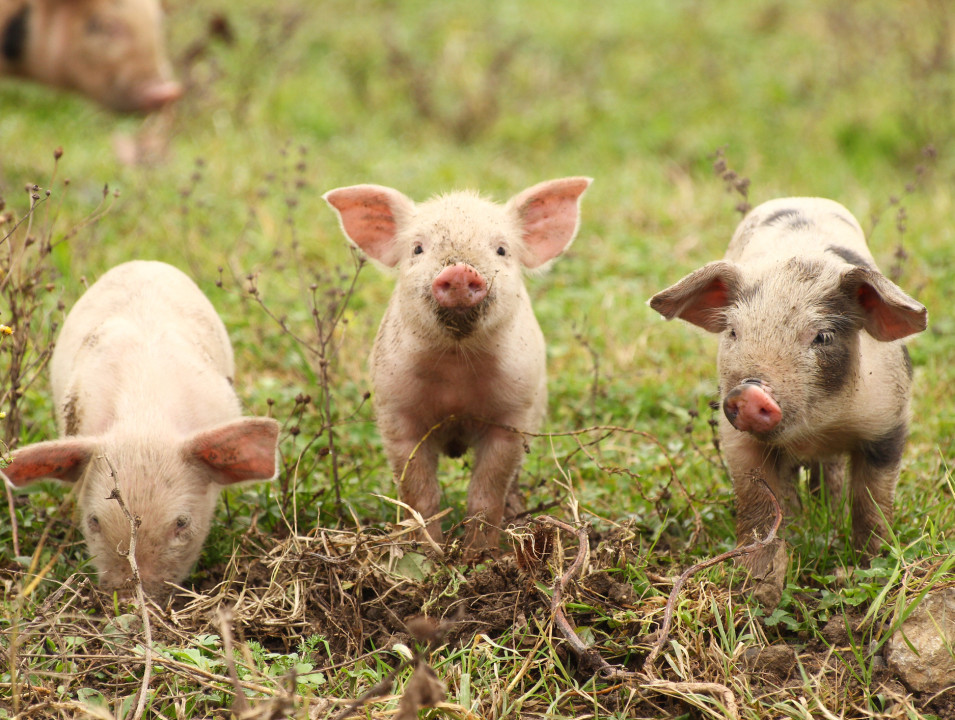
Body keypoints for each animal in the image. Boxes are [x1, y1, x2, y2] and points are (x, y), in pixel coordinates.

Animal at [324, 177, 592, 549]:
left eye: (501, 250)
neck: (456, 370)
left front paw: (479, 554)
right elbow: (419, 492)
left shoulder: (513, 416)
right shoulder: (395, 412)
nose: (460, 270)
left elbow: (486, 492)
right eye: (418, 249)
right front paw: (428, 552)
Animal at [650, 197, 927, 607]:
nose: (750, 391)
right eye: (734, 332)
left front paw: (869, 568)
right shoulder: (738, 439)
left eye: (823, 336)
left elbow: (872, 503)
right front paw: (758, 588)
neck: (816, 427)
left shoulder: (888, 421)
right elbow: (758, 508)